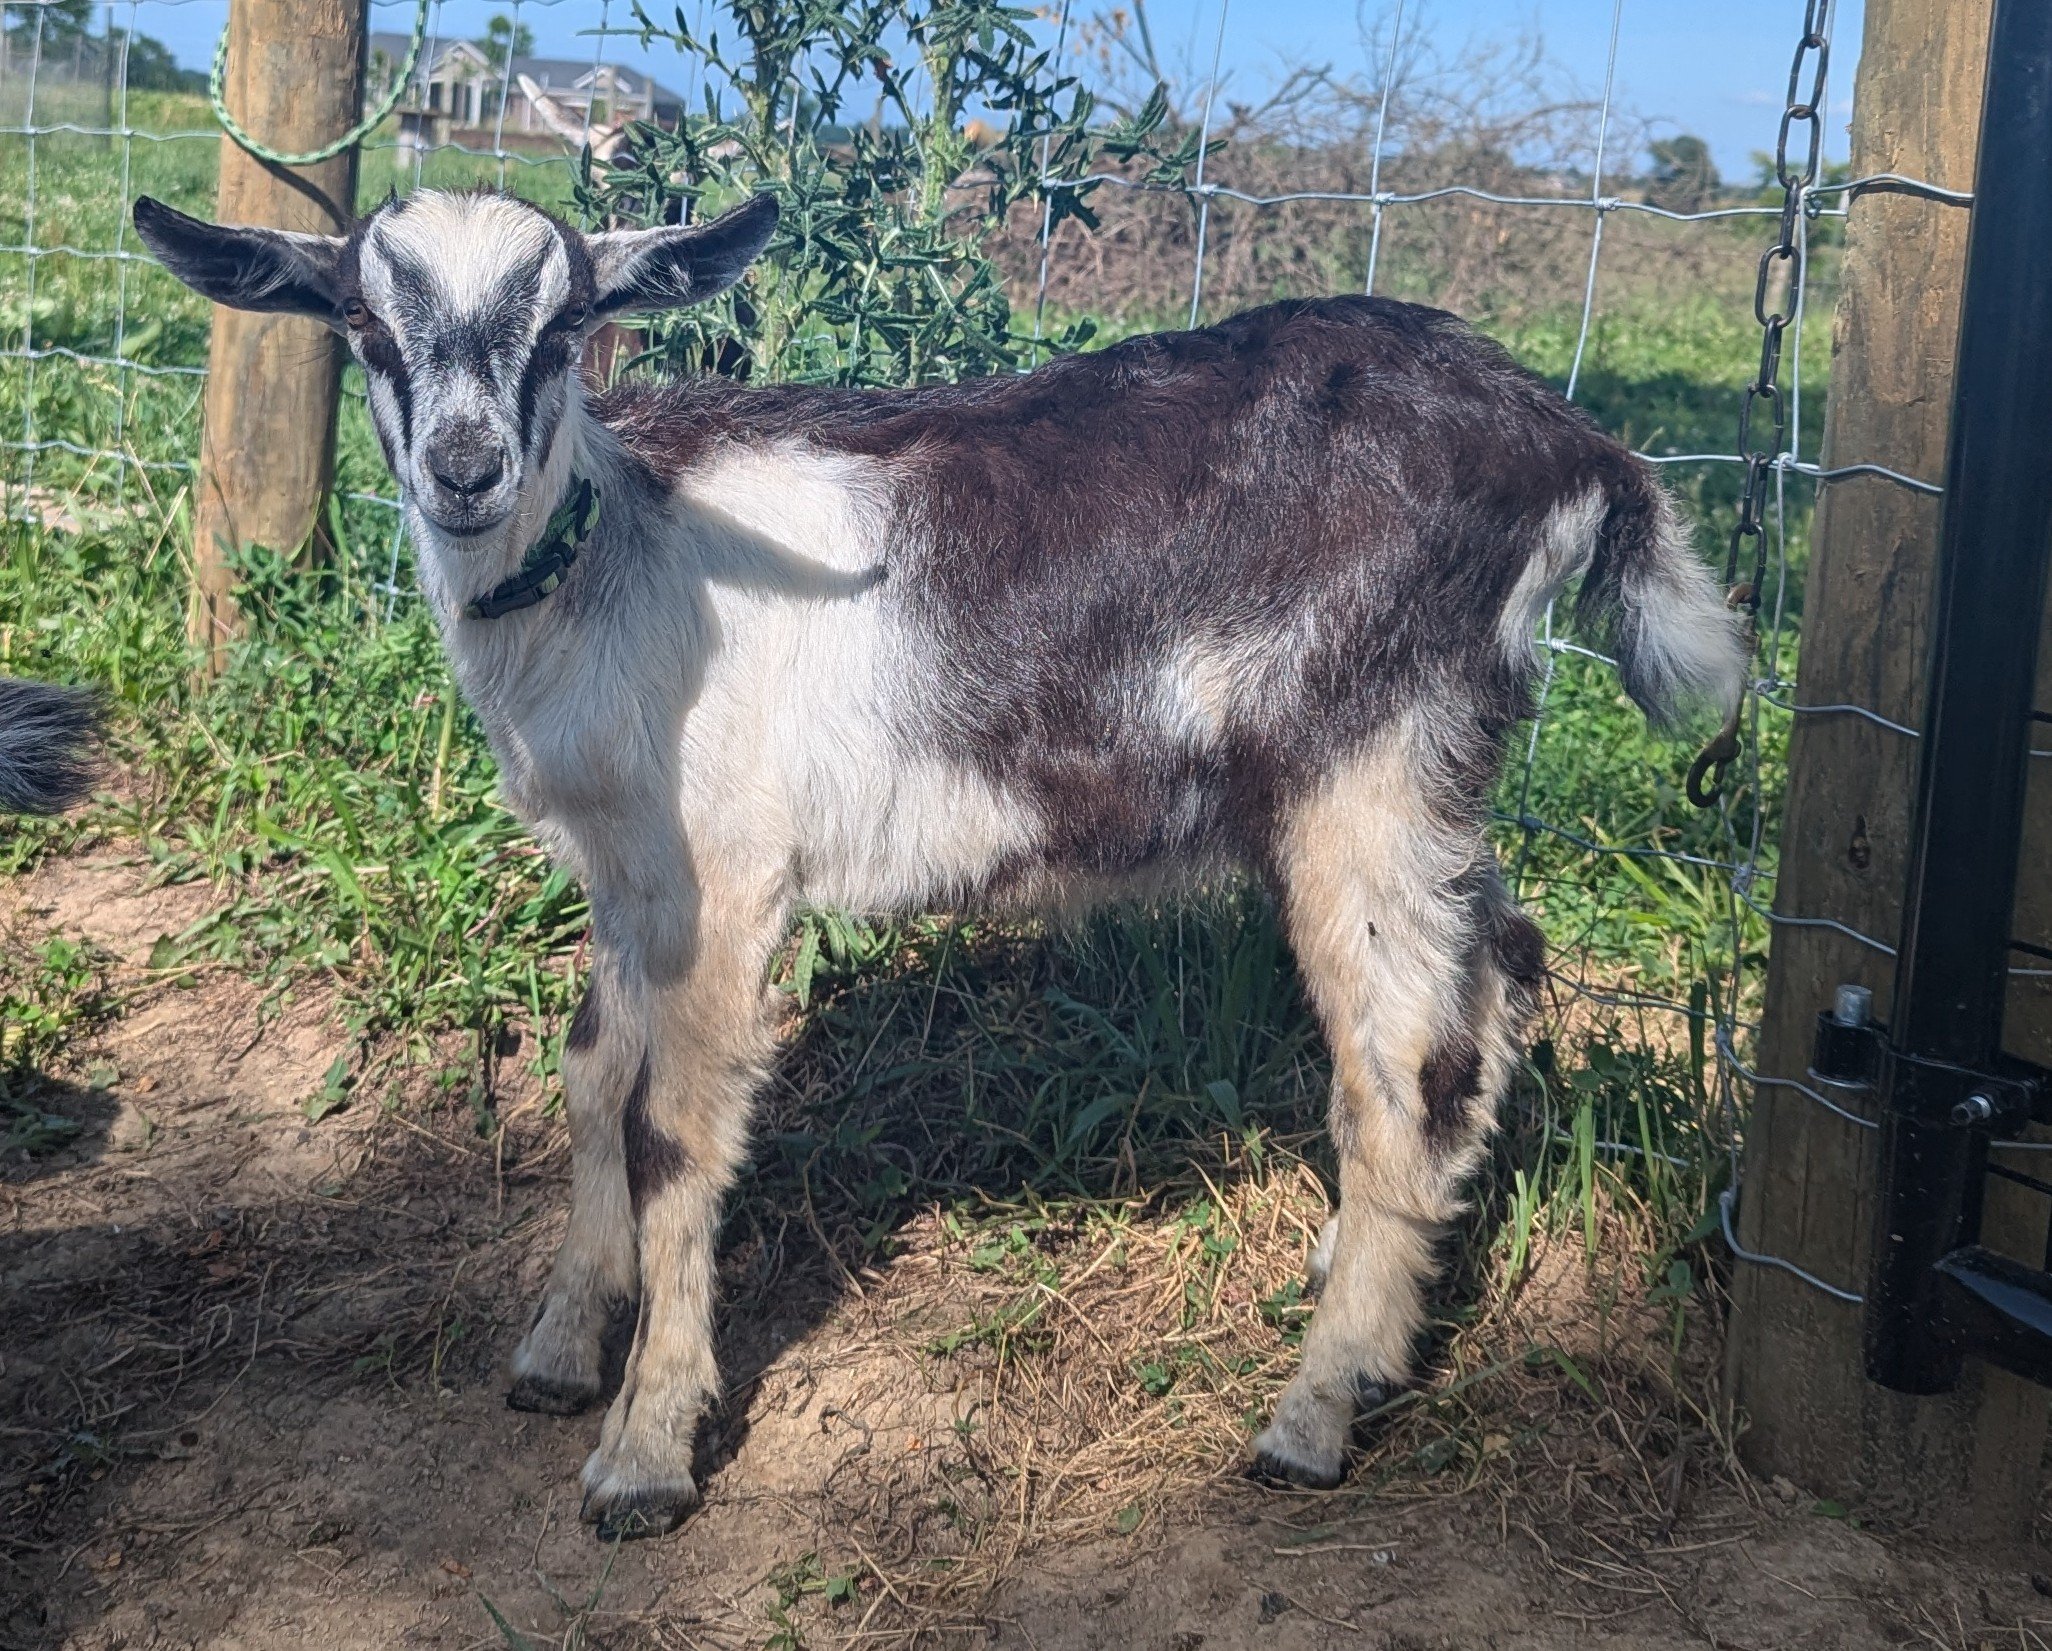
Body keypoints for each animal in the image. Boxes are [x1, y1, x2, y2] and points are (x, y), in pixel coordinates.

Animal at [133, 187, 1745, 1539]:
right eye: (362, 321)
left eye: (567, 321)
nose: (466, 471)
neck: (613, 568)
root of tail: (1574, 447)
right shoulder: (630, 875)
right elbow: (593, 1074)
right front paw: (557, 1346)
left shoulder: (729, 880)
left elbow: (673, 1133)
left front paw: (644, 1454)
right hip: (1430, 778)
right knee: (1500, 969)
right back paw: (1368, 1288)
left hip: (1366, 762)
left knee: (1406, 1059)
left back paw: (1315, 1411)